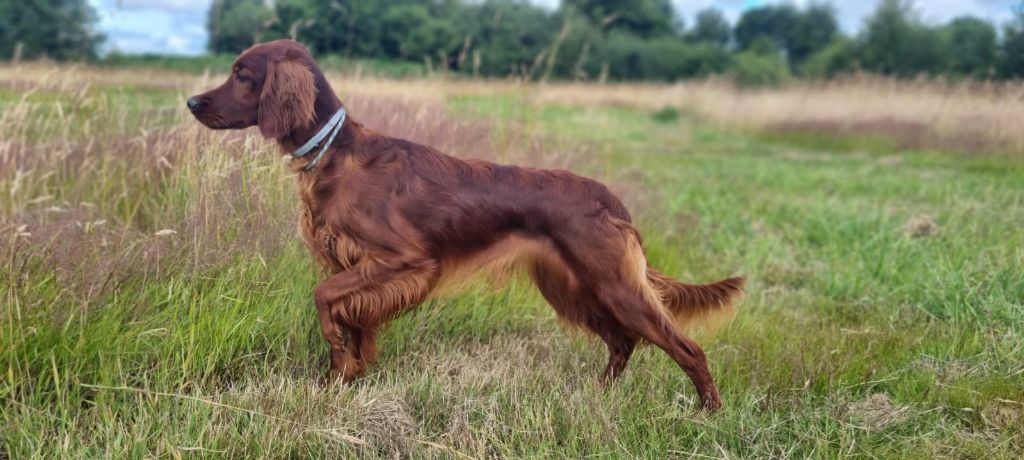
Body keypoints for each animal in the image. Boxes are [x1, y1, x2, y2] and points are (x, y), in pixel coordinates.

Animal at [186, 39, 745, 409]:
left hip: (611, 285)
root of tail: (610, 200)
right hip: (573, 285)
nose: (192, 102)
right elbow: (355, 322)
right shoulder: (360, 266)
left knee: (685, 347)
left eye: (242, 74)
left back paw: (709, 412)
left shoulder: (404, 260)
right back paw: (598, 395)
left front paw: (339, 362)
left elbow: (325, 298)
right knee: (622, 342)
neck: (335, 154)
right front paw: (345, 379)